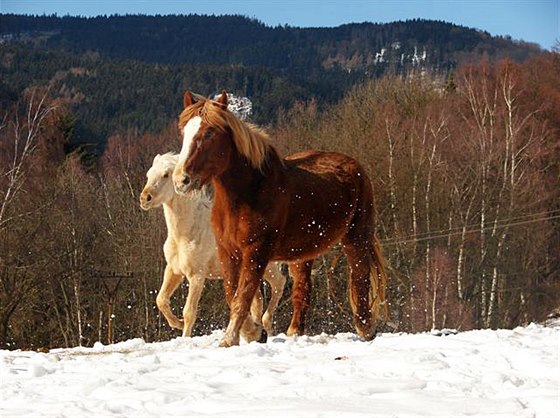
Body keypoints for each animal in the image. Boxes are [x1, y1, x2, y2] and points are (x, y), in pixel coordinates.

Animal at [142, 152, 286, 342]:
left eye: (165, 175)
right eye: (149, 175)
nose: (145, 198)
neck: (186, 234)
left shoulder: (197, 276)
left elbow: (189, 312)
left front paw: (184, 335)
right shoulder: (174, 270)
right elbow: (161, 300)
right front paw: (178, 323)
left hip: (267, 267)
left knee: (279, 284)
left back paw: (264, 327)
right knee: (256, 299)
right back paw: (254, 332)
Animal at [173, 90, 388, 346]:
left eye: (209, 133)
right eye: (184, 131)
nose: (181, 180)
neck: (248, 193)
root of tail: (355, 166)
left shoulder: (256, 251)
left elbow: (242, 296)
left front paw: (232, 338)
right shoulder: (228, 251)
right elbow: (232, 292)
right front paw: (254, 332)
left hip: (356, 237)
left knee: (359, 277)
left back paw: (365, 328)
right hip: (302, 254)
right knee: (303, 289)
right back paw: (295, 331)